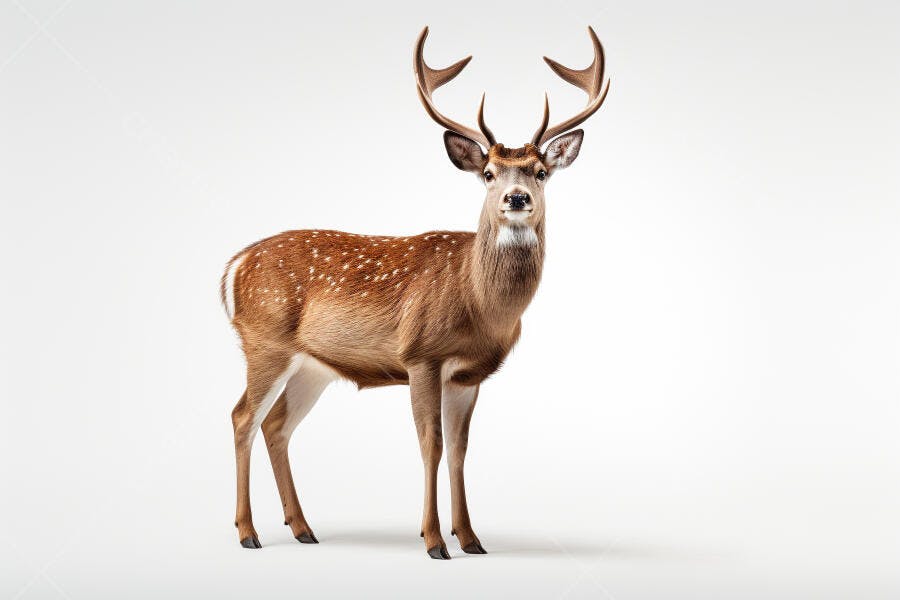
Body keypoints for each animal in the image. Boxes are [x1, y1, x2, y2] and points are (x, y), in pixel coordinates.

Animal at [221, 25, 610, 559]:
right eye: (488, 173)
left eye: (541, 172)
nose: (516, 198)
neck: (478, 303)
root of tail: (234, 267)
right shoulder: (421, 354)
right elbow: (432, 443)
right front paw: (433, 541)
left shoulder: (468, 374)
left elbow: (461, 449)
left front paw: (471, 538)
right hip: (265, 342)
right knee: (242, 416)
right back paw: (248, 533)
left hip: (311, 366)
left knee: (276, 425)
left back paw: (302, 527)